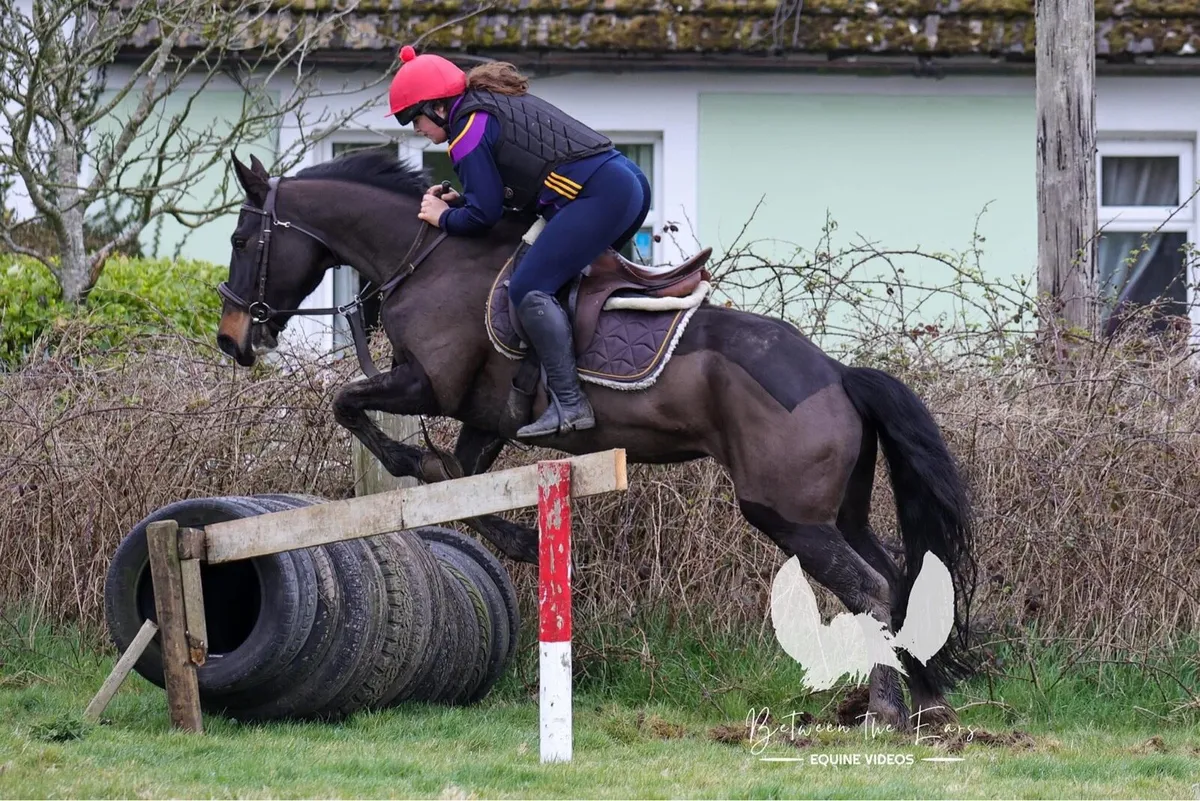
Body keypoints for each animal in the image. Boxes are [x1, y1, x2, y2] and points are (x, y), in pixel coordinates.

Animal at [216, 149, 979, 731]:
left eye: (242, 242)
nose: (232, 340)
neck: (426, 258)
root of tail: (839, 374)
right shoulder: (485, 419)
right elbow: (455, 479)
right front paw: (520, 537)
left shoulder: (426, 385)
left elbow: (353, 408)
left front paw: (427, 468)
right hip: (837, 512)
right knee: (903, 576)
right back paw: (930, 700)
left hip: (788, 514)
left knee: (872, 586)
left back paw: (887, 710)